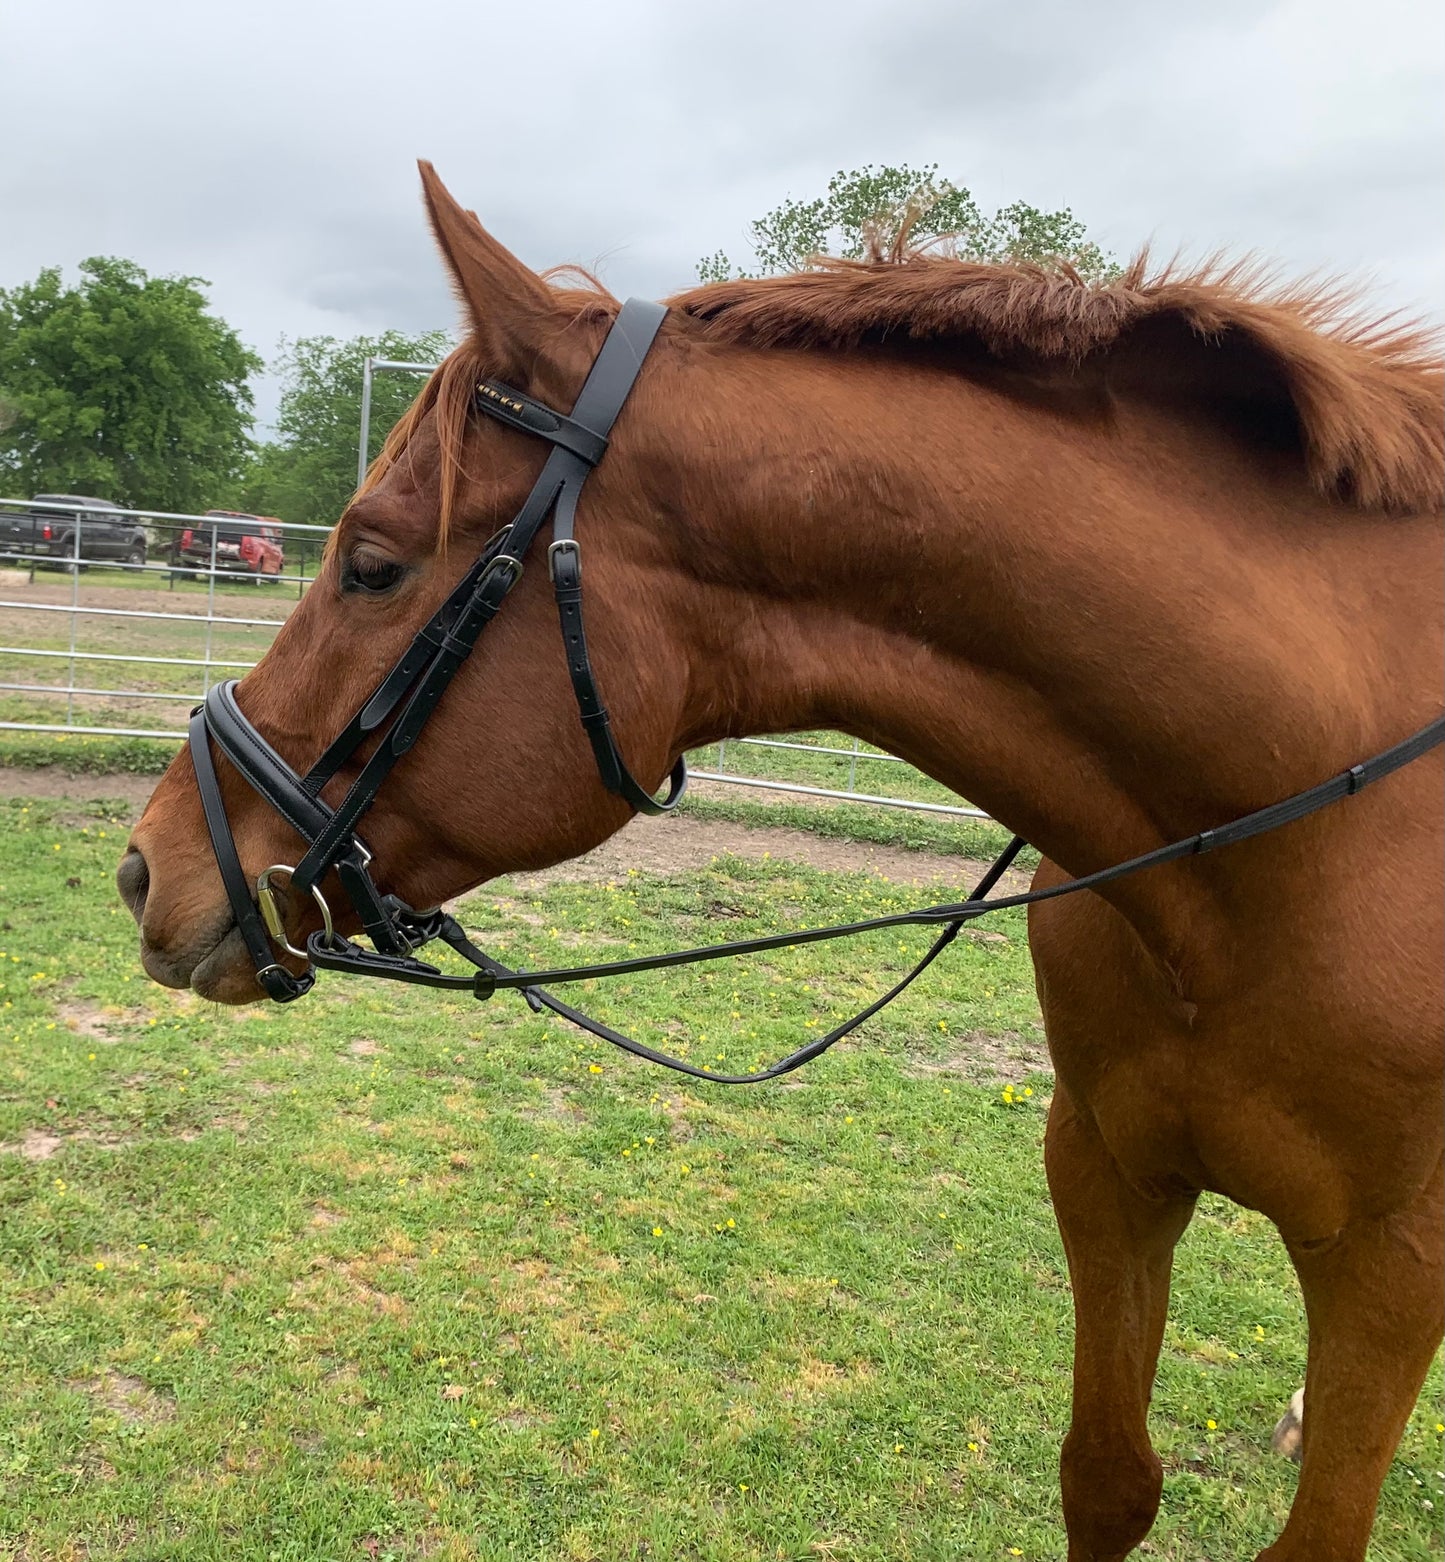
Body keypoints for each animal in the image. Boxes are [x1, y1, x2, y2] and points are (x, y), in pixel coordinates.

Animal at [118, 164, 1437, 1555]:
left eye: (372, 563)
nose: (149, 865)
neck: (1278, 842)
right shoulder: (1107, 1169)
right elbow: (1106, 1476)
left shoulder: (1391, 1265)